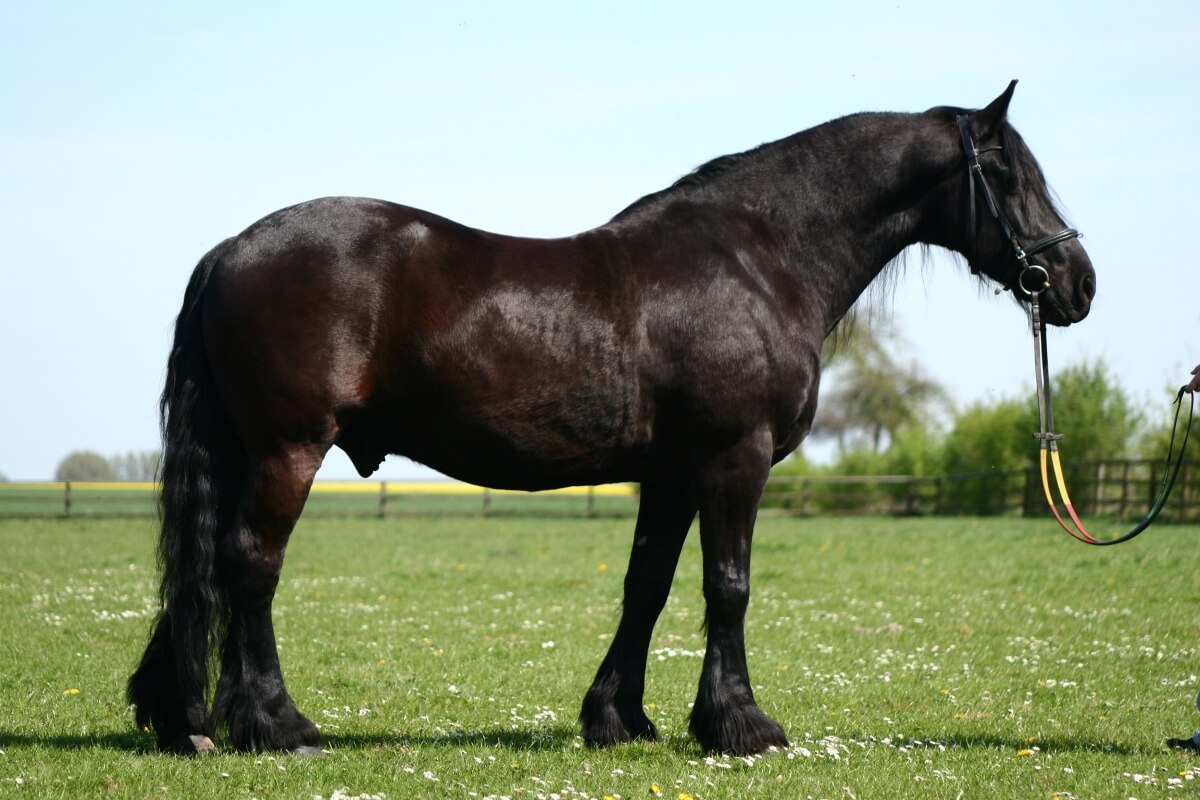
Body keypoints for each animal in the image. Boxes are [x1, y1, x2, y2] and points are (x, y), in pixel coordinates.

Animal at [128, 81, 1095, 757]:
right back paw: (277, 724)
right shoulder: (734, 459)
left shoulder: (669, 473)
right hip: (289, 449)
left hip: (247, 451)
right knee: (250, 566)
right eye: (1005, 173)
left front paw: (619, 718)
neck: (757, 260)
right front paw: (741, 725)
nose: (1077, 283)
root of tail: (231, 252)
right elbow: (728, 586)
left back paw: (190, 717)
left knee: (207, 567)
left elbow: (648, 587)